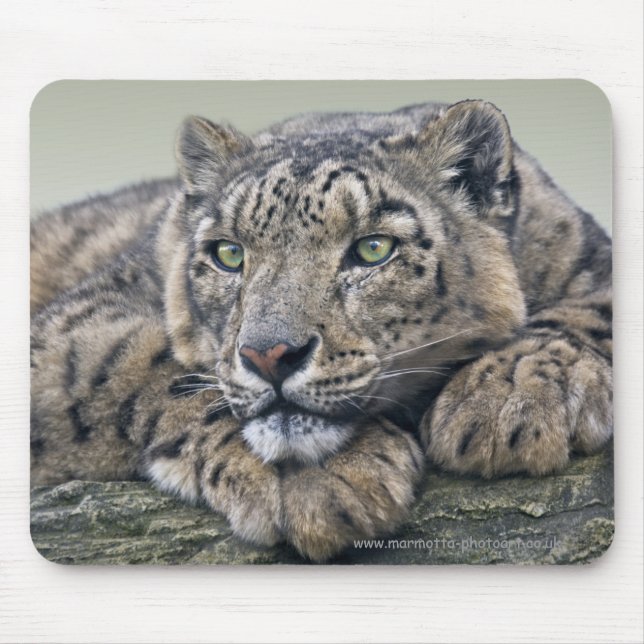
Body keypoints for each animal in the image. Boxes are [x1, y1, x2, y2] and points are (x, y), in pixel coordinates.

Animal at [30, 100, 613, 561]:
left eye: (374, 248)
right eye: (228, 254)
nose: (269, 354)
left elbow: (597, 307)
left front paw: (508, 400)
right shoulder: (68, 326)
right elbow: (135, 361)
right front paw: (322, 483)